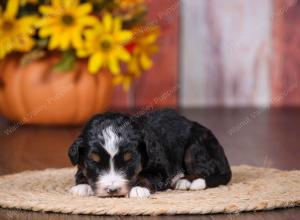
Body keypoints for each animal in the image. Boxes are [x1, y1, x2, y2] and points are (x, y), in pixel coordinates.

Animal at [68, 108, 232, 198]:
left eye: (129, 160)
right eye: (94, 162)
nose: (112, 190)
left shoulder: (161, 167)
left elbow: (148, 175)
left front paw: (139, 189)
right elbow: (81, 173)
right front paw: (82, 186)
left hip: (195, 148)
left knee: (210, 171)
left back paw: (187, 181)